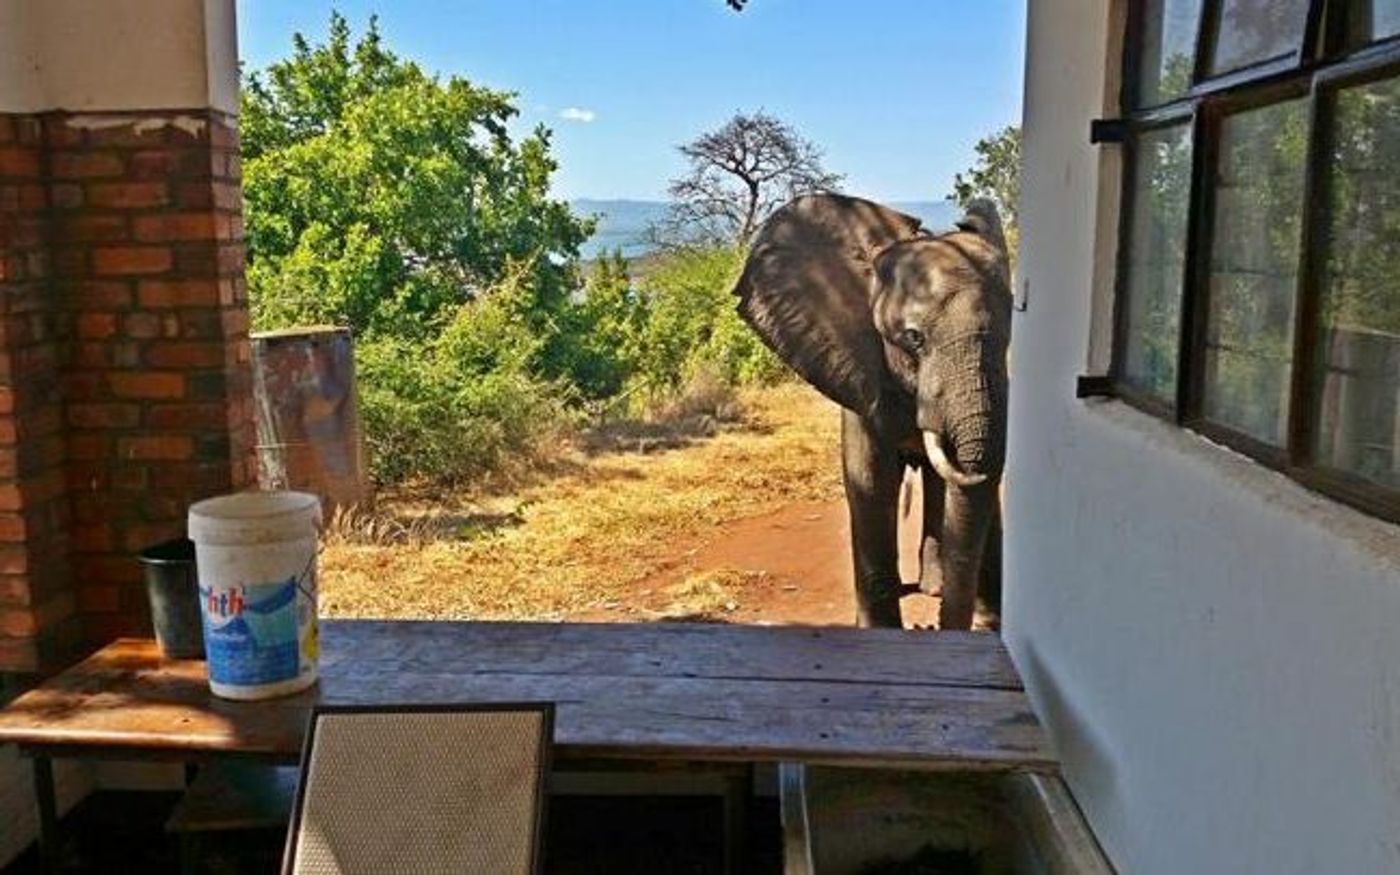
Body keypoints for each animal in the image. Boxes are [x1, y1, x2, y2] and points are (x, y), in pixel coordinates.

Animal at [733, 193, 1008, 627]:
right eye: (913, 338)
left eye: (1009, 334)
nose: (929, 627)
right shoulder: (857, 365)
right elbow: (871, 480)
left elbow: (978, 481)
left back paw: (934, 587)